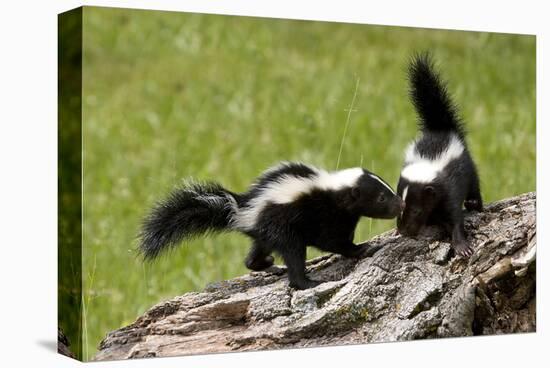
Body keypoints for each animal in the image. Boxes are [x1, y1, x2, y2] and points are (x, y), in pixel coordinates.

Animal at [140, 162, 404, 288]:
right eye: (382, 198)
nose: (401, 203)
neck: (333, 190)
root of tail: (243, 210)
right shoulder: (323, 215)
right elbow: (331, 241)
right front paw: (362, 249)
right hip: (281, 227)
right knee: (294, 256)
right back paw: (306, 282)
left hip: (266, 233)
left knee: (254, 256)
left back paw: (268, 264)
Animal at [396, 53, 484, 258]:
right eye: (400, 206)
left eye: (417, 211)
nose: (404, 231)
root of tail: (440, 128)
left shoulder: (449, 188)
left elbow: (455, 217)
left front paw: (462, 246)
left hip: (467, 165)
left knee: (475, 185)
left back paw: (475, 203)